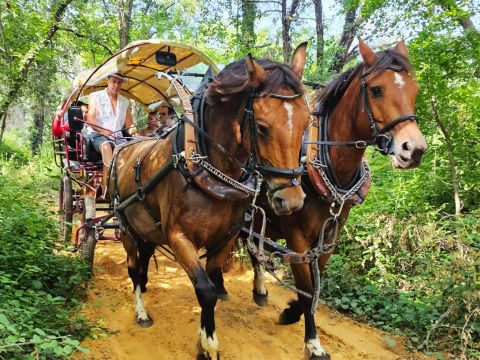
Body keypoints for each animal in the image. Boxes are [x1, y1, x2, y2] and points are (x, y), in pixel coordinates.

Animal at [109, 45, 312, 360]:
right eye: (262, 127)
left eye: (306, 122)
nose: (290, 200)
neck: (208, 168)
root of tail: (124, 146)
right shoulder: (178, 237)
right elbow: (205, 289)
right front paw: (209, 345)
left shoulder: (225, 237)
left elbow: (214, 281)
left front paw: (205, 337)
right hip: (126, 226)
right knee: (132, 267)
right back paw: (141, 311)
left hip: (147, 230)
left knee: (142, 262)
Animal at [248, 39, 428, 360]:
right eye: (376, 90)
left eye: (414, 90)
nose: (414, 149)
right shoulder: (297, 237)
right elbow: (307, 286)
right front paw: (313, 343)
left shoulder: (330, 235)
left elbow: (316, 279)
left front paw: (291, 311)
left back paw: (260, 290)